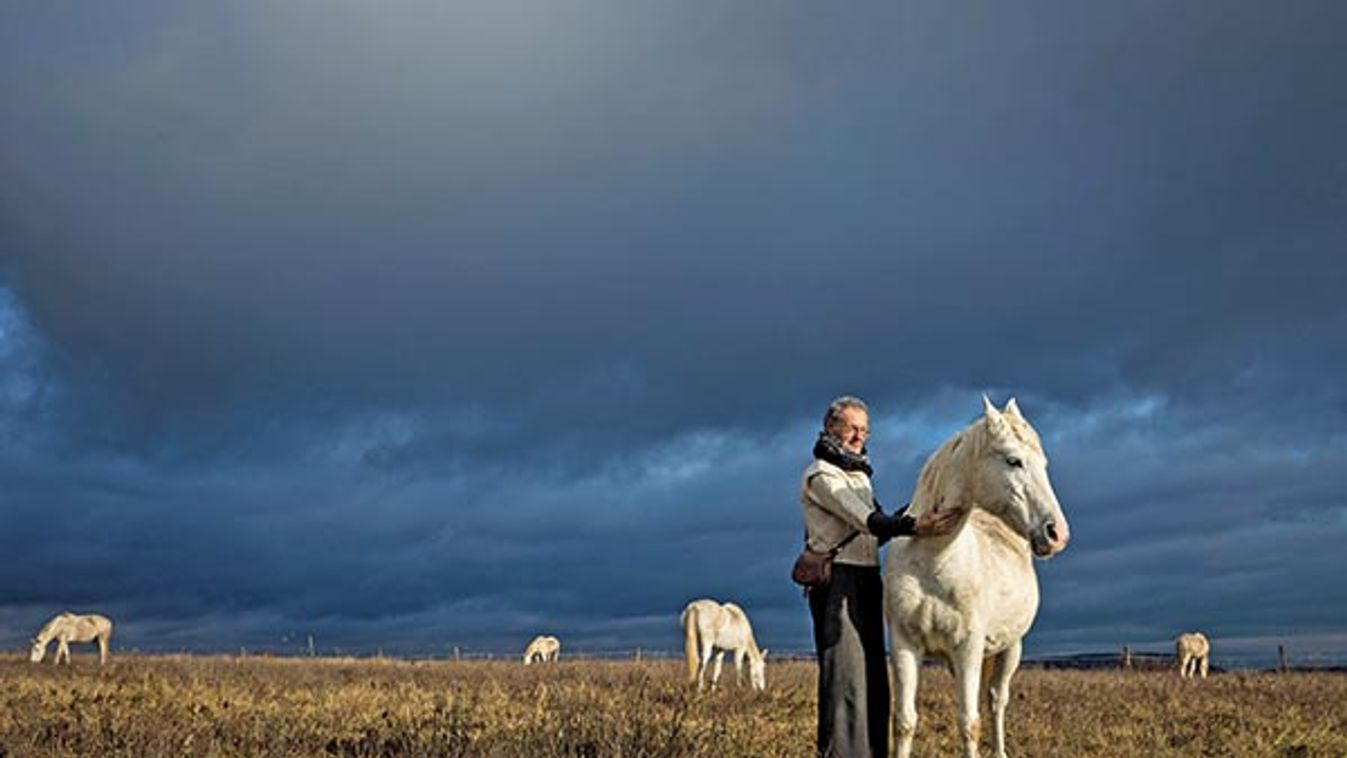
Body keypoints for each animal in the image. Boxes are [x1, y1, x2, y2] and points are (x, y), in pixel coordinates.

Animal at [883, 398, 1072, 758]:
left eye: (1043, 463)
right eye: (1014, 460)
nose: (1056, 534)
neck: (934, 560)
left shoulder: (968, 648)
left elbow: (969, 723)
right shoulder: (905, 645)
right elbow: (904, 721)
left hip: (1010, 649)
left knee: (996, 700)